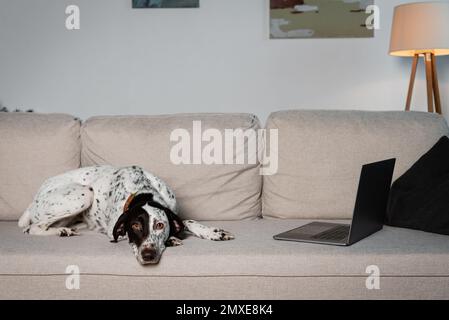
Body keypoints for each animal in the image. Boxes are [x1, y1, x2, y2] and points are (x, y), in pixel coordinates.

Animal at [17, 166, 234, 264]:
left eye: (160, 225)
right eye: (135, 226)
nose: (148, 255)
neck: (144, 191)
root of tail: (35, 197)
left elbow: (186, 221)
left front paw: (213, 232)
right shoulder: (115, 231)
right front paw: (172, 239)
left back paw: (65, 230)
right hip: (85, 193)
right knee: (32, 228)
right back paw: (62, 231)